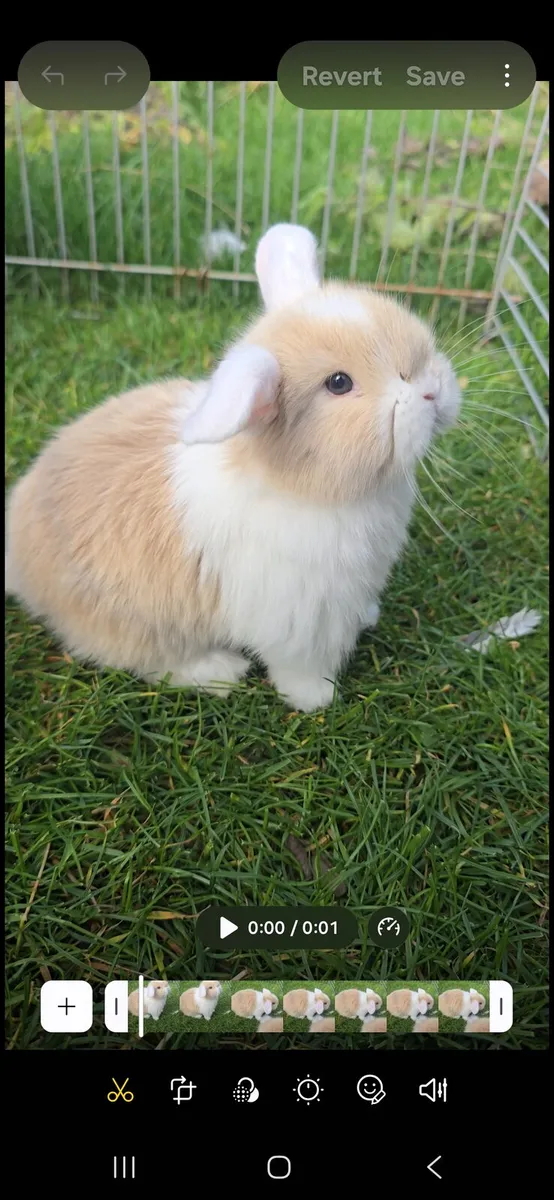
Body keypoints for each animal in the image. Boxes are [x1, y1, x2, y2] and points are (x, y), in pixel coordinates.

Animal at [5, 223, 461, 714]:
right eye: (339, 383)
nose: (433, 390)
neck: (302, 485)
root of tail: (18, 560)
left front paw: (369, 618)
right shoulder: (299, 619)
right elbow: (300, 667)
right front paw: (317, 700)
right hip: (132, 622)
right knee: (151, 662)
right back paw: (221, 672)